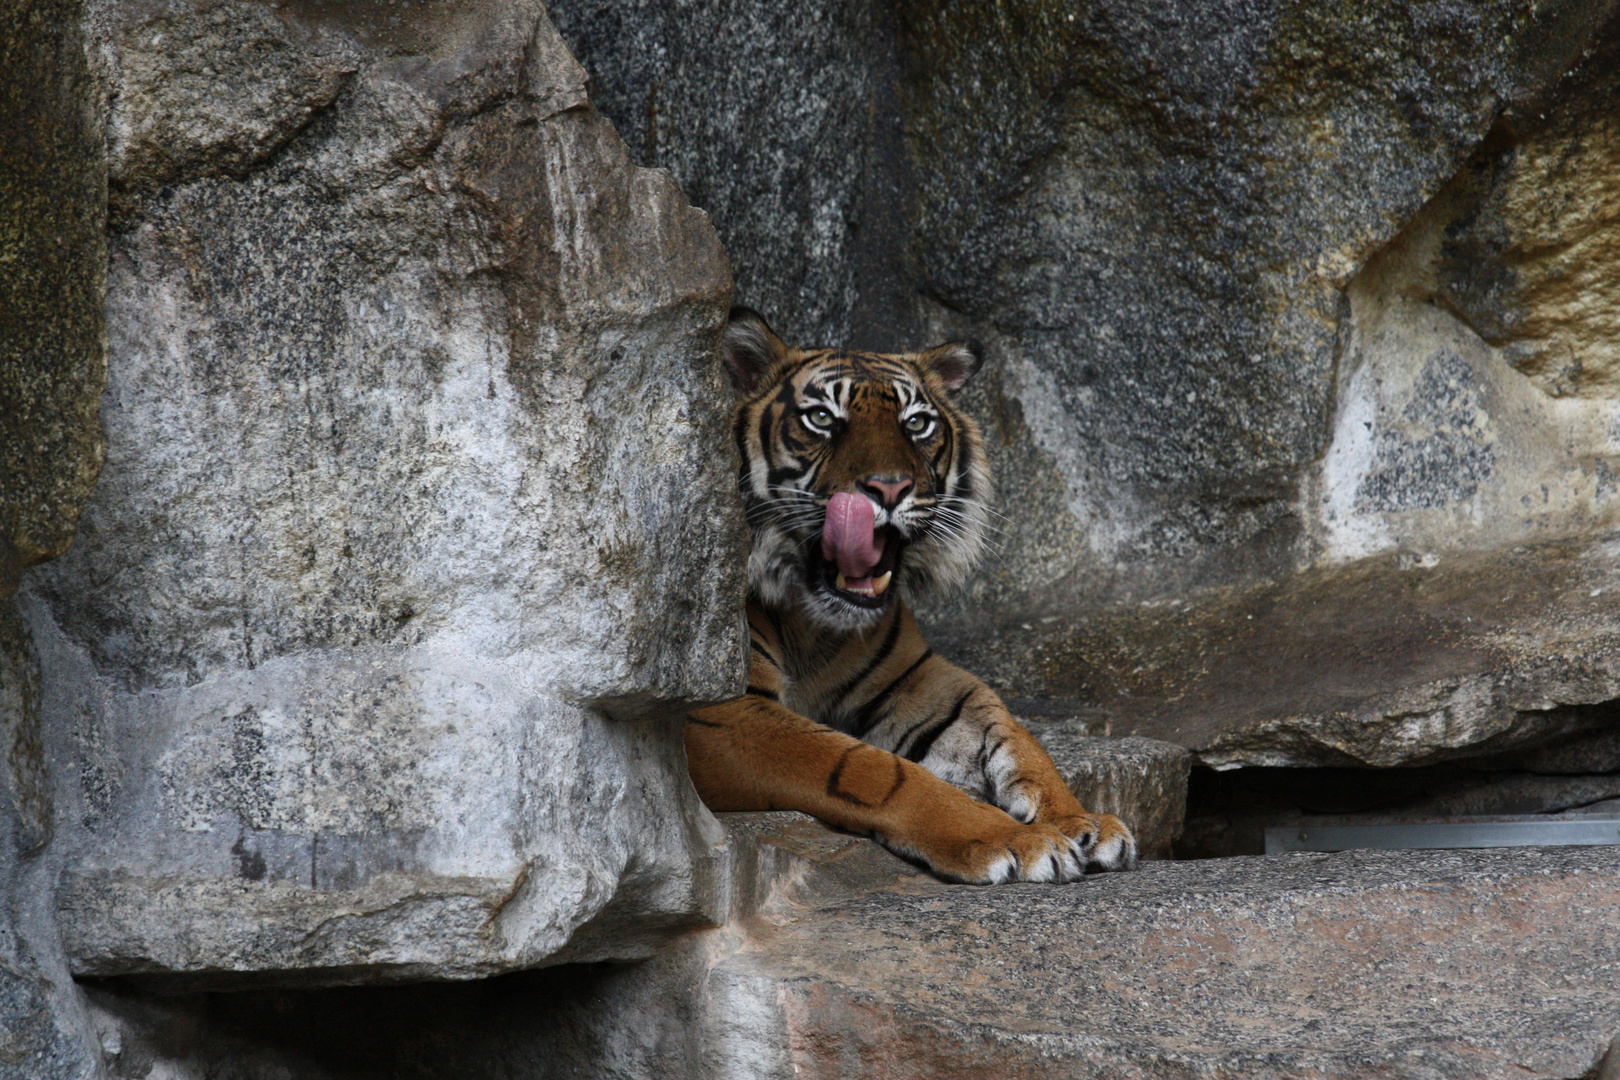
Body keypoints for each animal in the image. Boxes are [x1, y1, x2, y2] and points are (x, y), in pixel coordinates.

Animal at [686, 307, 1140, 880]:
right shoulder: (720, 712)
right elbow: (873, 770)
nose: (889, 488)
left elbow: (1012, 730)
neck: (814, 623)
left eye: (917, 423)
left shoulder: (914, 676)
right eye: (822, 419)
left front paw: (1080, 821)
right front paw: (1018, 838)